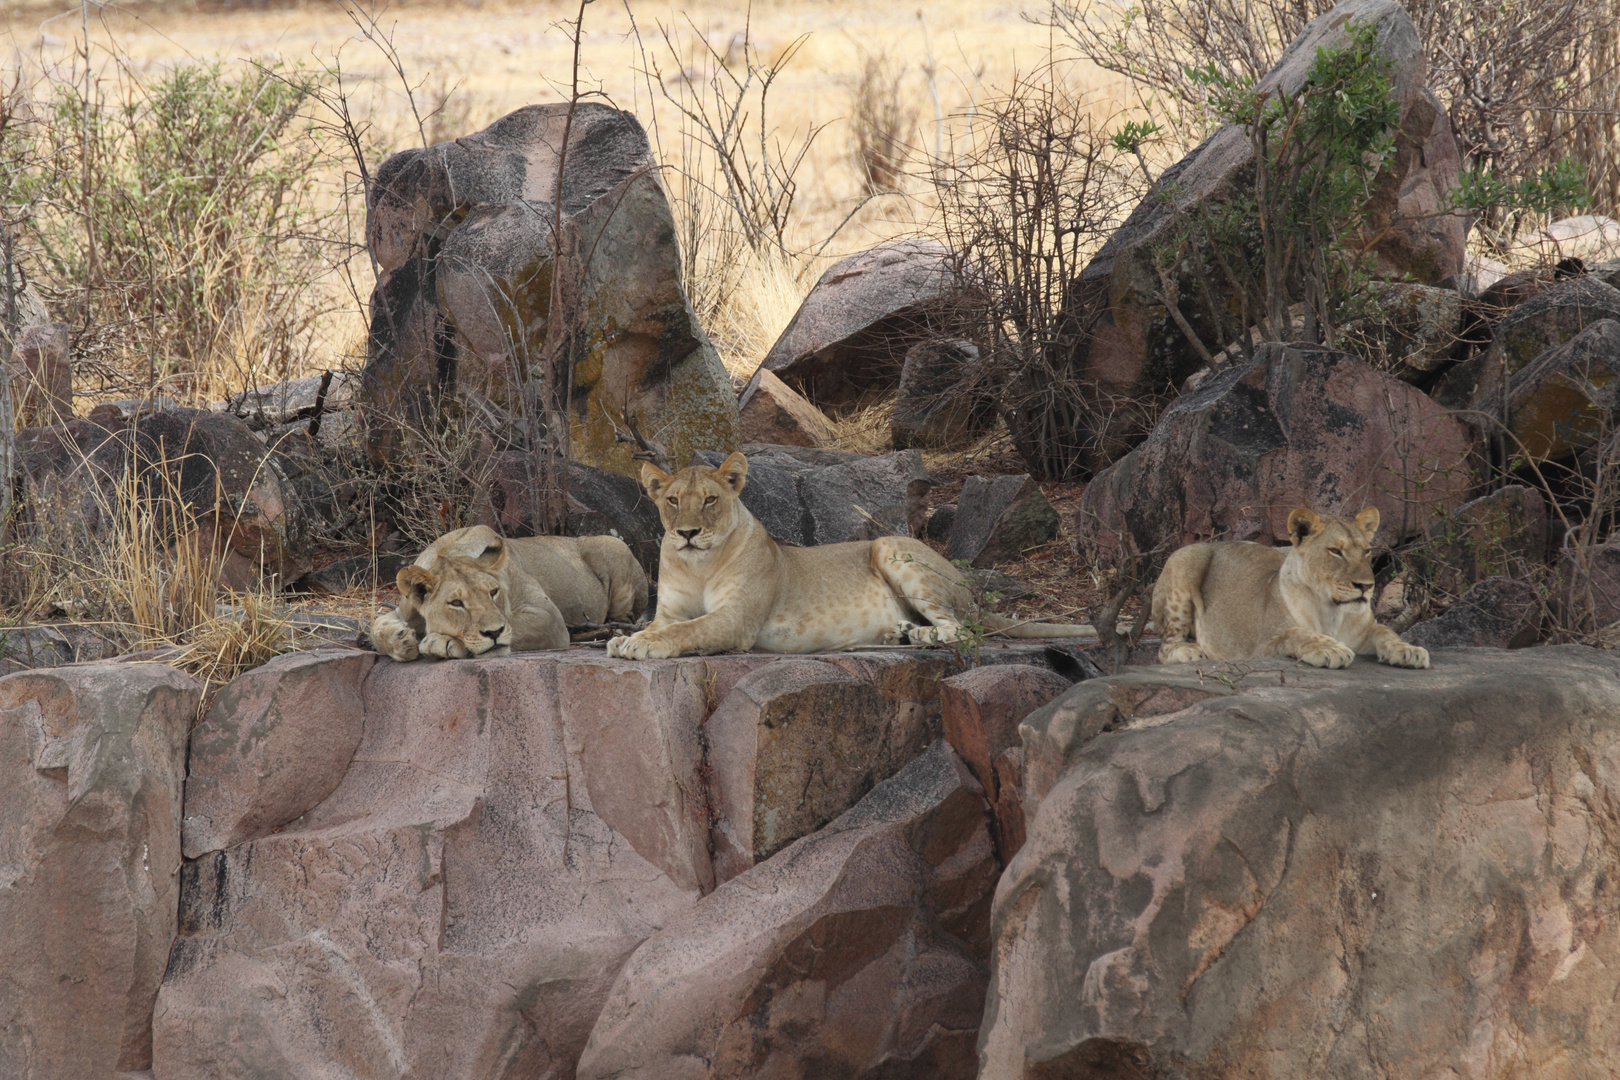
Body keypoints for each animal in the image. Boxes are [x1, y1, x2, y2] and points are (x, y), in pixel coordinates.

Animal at [370, 524, 644, 660]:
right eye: (456, 603)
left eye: (494, 592)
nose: (494, 633)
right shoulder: (402, 609)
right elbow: (376, 625)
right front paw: (400, 641)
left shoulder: (548, 616)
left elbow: (514, 627)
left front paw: (444, 641)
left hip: (614, 546)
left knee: (625, 621)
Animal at [602, 446, 1095, 660]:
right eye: (671, 500)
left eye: (709, 500)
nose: (686, 532)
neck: (698, 564)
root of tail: (972, 593)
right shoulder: (669, 610)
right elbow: (668, 624)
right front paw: (624, 637)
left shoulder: (736, 620)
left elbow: (687, 631)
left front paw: (638, 644)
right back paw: (899, 634)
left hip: (888, 546)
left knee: (962, 630)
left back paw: (919, 636)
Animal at [1153, 505, 1432, 667]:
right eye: (1335, 551)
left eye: (1366, 551)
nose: (1366, 586)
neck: (1332, 611)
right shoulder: (1259, 649)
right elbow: (1294, 634)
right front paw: (1329, 648)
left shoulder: (1365, 632)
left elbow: (1385, 630)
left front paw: (1408, 650)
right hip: (1185, 559)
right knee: (1164, 648)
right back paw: (1190, 651)